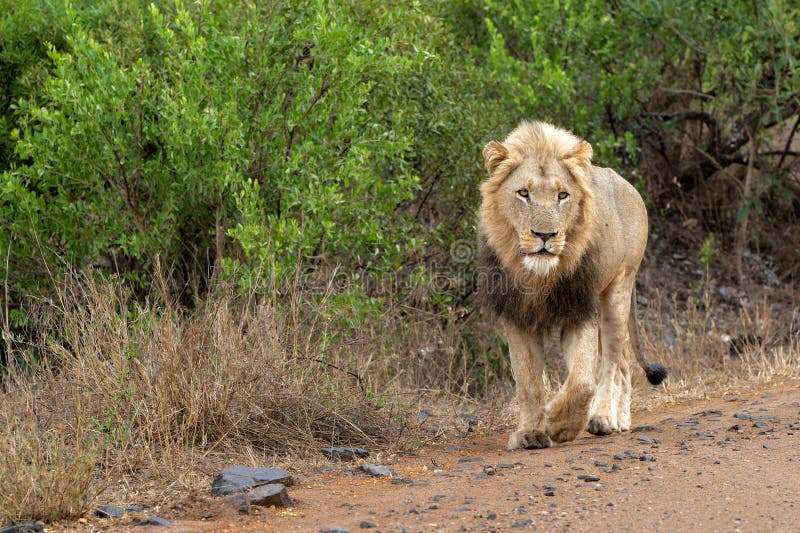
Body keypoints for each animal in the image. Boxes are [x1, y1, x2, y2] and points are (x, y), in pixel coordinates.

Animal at [476, 120, 668, 448]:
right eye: (523, 193)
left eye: (563, 195)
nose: (545, 235)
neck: (541, 277)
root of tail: (628, 184)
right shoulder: (518, 317)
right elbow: (528, 381)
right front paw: (530, 432)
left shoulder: (580, 307)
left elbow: (582, 380)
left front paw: (559, 425)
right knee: (622, 360)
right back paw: (620, 418)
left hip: (619, 288)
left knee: (613, 362)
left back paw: (605, 419)